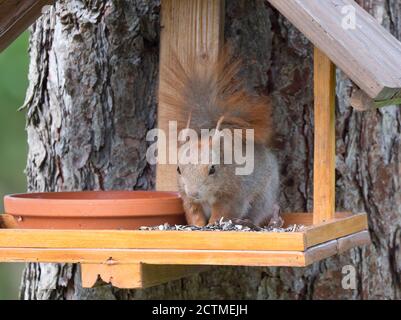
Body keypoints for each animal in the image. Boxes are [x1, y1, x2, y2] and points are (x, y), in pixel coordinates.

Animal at [160, 47, 282, 228]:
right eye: (178, 169)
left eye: (212, 169)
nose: (194, 192)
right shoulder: (188, 199)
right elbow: (193, 212)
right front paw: (198, 225)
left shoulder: (232, 195)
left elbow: (223, 213)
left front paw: (213, 224)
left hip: (264, 194)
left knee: (259, 211)